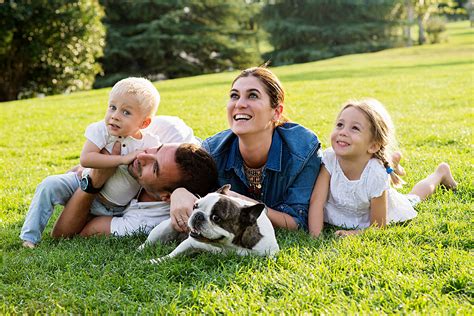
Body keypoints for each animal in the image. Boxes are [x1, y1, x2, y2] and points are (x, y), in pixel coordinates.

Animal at [138, 184, 278, 262]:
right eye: (195, 206)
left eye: (216, 218)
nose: (198, 215)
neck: (227, 246)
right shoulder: (190, 242)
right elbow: (172, 255)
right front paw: (155, 261)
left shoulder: (270, 251)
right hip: (162, 229)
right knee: (149, 242)